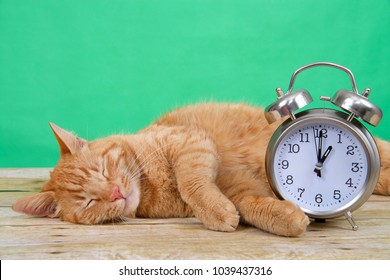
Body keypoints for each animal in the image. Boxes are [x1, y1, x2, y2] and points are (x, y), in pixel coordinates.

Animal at [12, 103, 390, 236]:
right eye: (89, 202)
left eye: (103, 170)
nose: (116, 192)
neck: (151, 186)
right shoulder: (235, 185)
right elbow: (250, 205)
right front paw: (287, 218)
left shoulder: (190, 144)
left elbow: (191, 182)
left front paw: (214, 211)